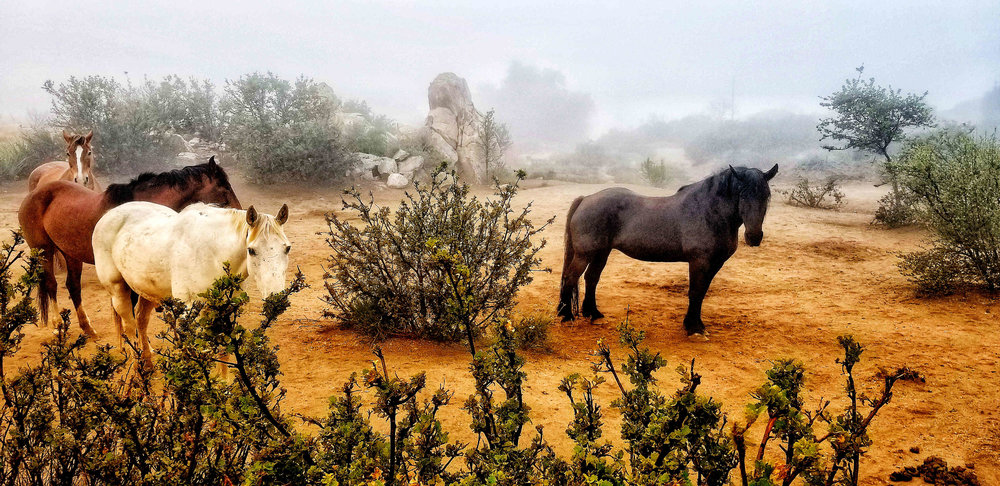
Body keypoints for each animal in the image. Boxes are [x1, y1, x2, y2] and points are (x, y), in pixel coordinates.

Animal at [18, 158, 241, 336]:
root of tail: (33, 194)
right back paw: (57, 325)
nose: (239, 211)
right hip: (44, 250)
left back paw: (88, 328)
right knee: (51, 285)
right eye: (224, 187)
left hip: (70, 253)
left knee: (73, 287)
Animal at [91, 201, 290, 364]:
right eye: (251, 250)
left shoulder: (225, 310)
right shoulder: (189, 311)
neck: (213, 254)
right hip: (118, 291)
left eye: (287, 248)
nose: (277, 300)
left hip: (147, 289)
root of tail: (109, 214)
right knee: (130, 327)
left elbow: (223, 353)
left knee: (141, 319)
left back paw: (147, 360)